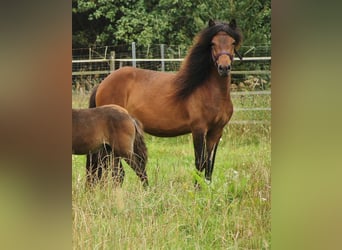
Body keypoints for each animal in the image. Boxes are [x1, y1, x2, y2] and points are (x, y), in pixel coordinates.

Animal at [89, 19, 243, 186]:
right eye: (213, 43)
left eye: (233, 42)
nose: (224, 68)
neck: (212, 93)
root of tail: (102, 84)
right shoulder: (198, 129)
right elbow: (200, 162)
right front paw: (197, 189)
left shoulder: (216, 131)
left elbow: (209, 165)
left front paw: (207, 188)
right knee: (115, 168)